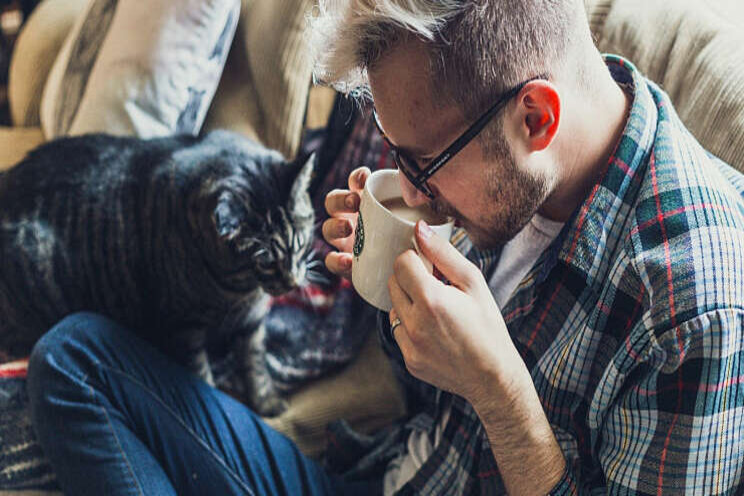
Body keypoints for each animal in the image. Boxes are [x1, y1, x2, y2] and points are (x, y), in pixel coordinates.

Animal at [0, 130, 316, 416]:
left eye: (300, 243)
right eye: (265, 262)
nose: (292, 282)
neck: (238, 292)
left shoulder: (252, 321)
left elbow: (255, 363)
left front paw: (267, 401)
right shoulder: (184, 327)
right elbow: (201, 374)